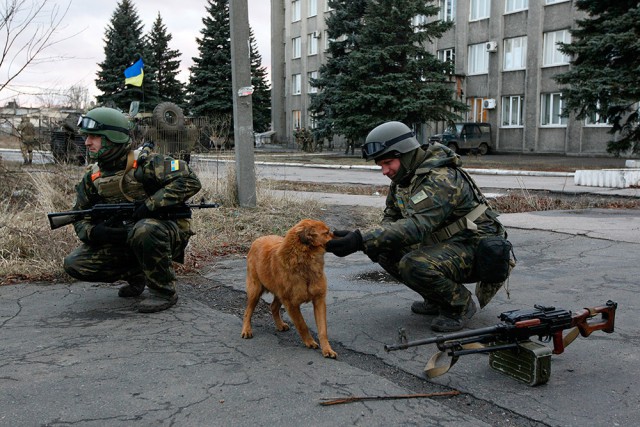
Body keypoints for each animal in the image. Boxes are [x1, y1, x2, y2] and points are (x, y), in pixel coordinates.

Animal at [241, 219, 340, 360]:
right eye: (326, 233)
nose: (341, 237)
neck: (305, 260)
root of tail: (259, 238)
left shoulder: (319, 300)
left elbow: (322, 329)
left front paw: (327, 349)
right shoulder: (291, 304)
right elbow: (302, 325)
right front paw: (310, 342)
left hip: (279, 293)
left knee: (273, 306)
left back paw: (279, 325)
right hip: (255, 290)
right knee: (248, 311)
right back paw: (246, 330)